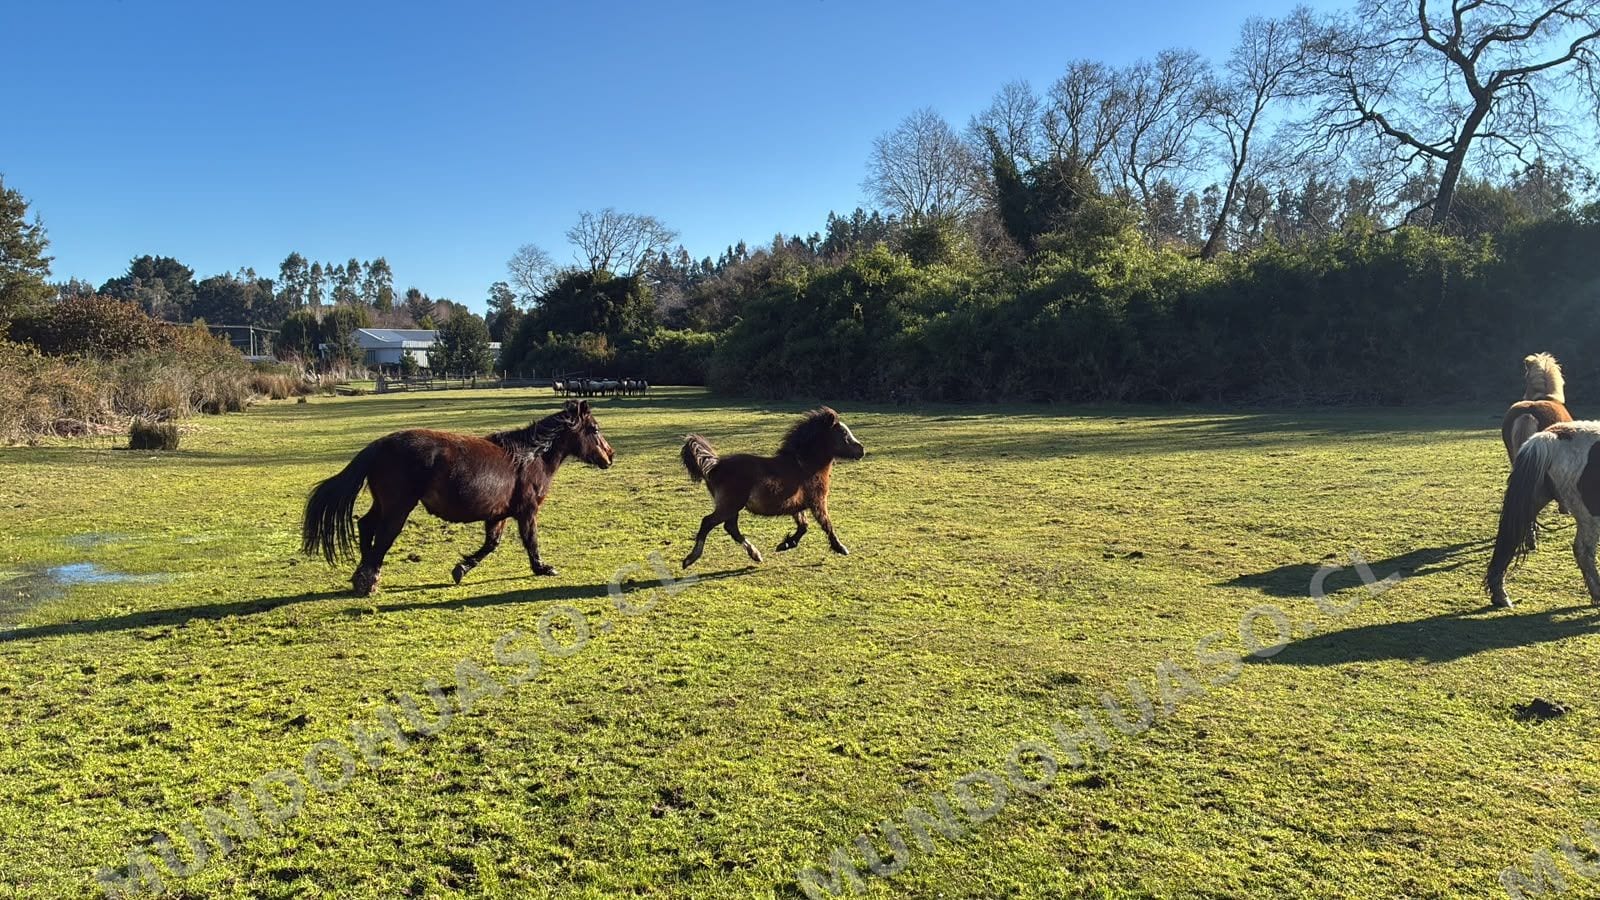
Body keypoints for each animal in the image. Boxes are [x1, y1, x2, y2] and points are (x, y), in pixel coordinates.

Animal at [301, 400, 615, 596]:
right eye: (595, 429)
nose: (610, 456)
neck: (531, 457)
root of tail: (379, 445)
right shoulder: (526, 511)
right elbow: (530, 540)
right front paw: (542, 568)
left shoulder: (498, 515)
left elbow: (490, 545)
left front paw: (461, 569)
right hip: (397, 508)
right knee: (382, 537)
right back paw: (369, 581)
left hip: (383, 504)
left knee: (366, 526)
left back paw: (363, 576)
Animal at [677, 407, 865, 569]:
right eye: (843, 434)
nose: (861, 450)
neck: (804, 465)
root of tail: (715, 466)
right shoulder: (817, 501)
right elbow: (827, 525)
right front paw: (841, 548)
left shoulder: (797, 505)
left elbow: (803, 526)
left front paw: (786, 544)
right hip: (730, 505)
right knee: (708, 522)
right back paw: (690, 559)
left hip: (732, 507)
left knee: (731, 528)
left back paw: (755, 555)